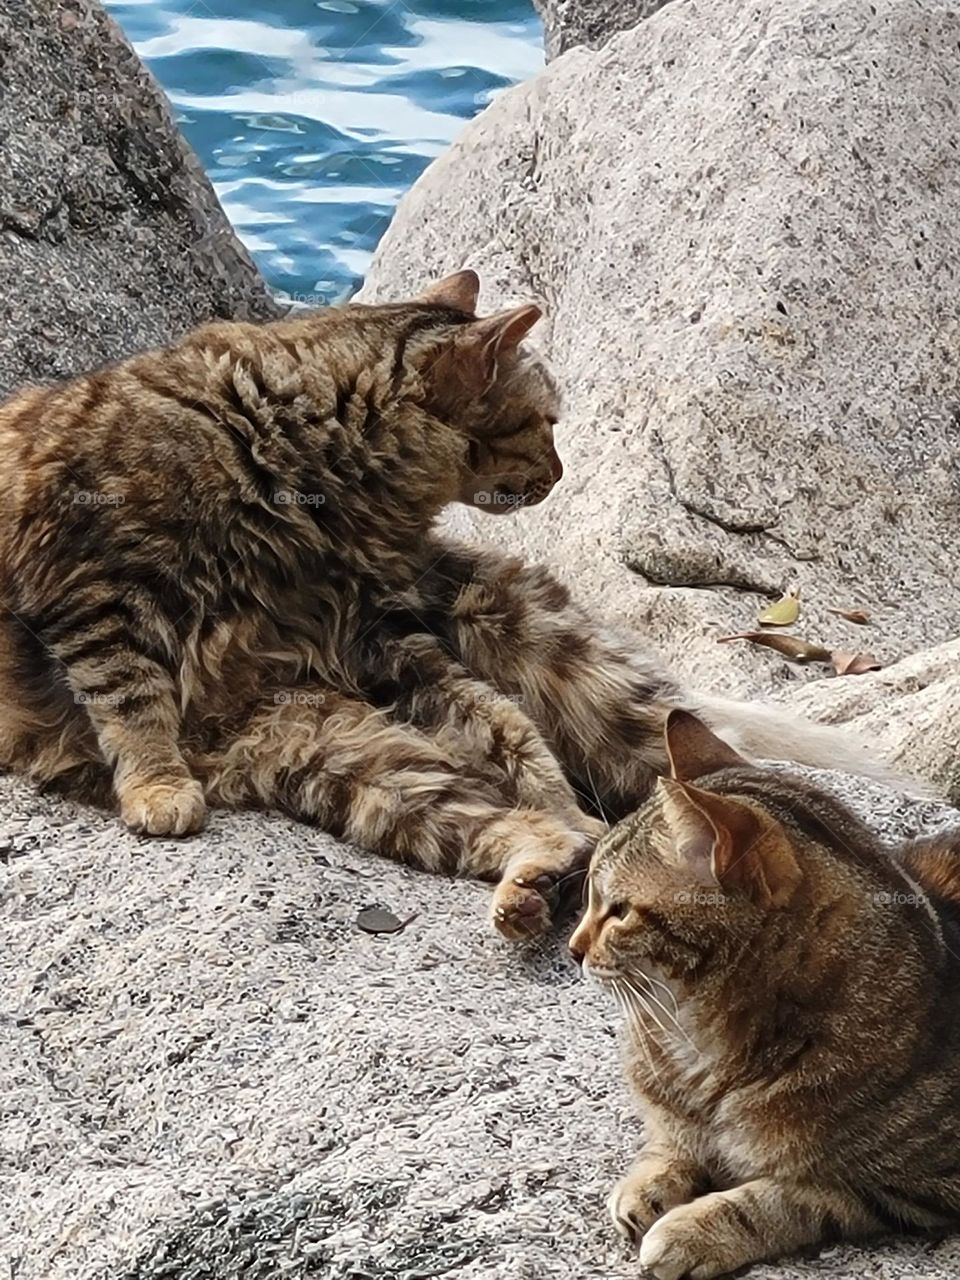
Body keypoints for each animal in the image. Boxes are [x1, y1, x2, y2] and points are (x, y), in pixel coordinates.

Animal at [0, 267, 901, 942]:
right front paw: (158, 788)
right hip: (343, 756)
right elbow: (130, 697)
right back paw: (543, 877)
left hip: (511, 659)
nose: (561, 475)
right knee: (529, 826)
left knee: (679, 773)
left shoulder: (381, 636)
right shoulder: (89, 587)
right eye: (545, 421)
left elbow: (507, 728)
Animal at [570, 716, 960, 1274]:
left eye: (618, 911)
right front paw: (650, 1181)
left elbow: (787, 1199)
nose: (573, 948)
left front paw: (692, 1230)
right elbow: (669, 1138)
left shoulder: (914, 1183)